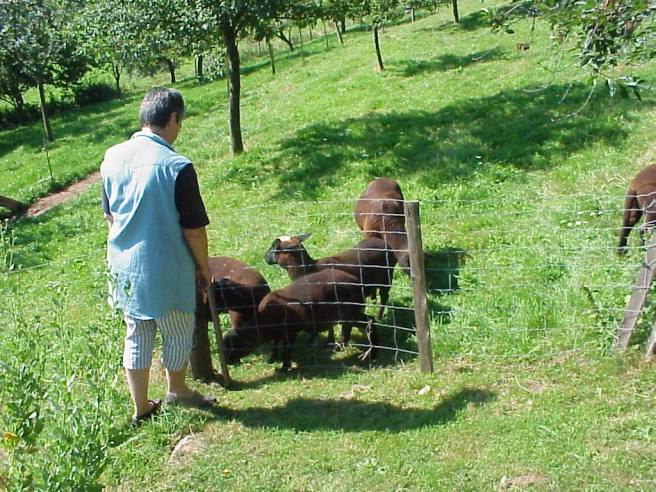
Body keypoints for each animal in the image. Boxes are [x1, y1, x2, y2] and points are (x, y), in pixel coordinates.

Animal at [219, 270, 376, 372]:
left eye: (234, 345)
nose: (227, 361)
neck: (264, 322)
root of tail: (357, 283)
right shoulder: (278, 333)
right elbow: (274, 345)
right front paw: (271, 359)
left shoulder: (290, 331)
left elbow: (286, 347)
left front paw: (284, 367)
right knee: (352, 326)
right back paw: (342, 346)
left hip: (351, 311)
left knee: (370, 322)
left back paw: (372, 352)